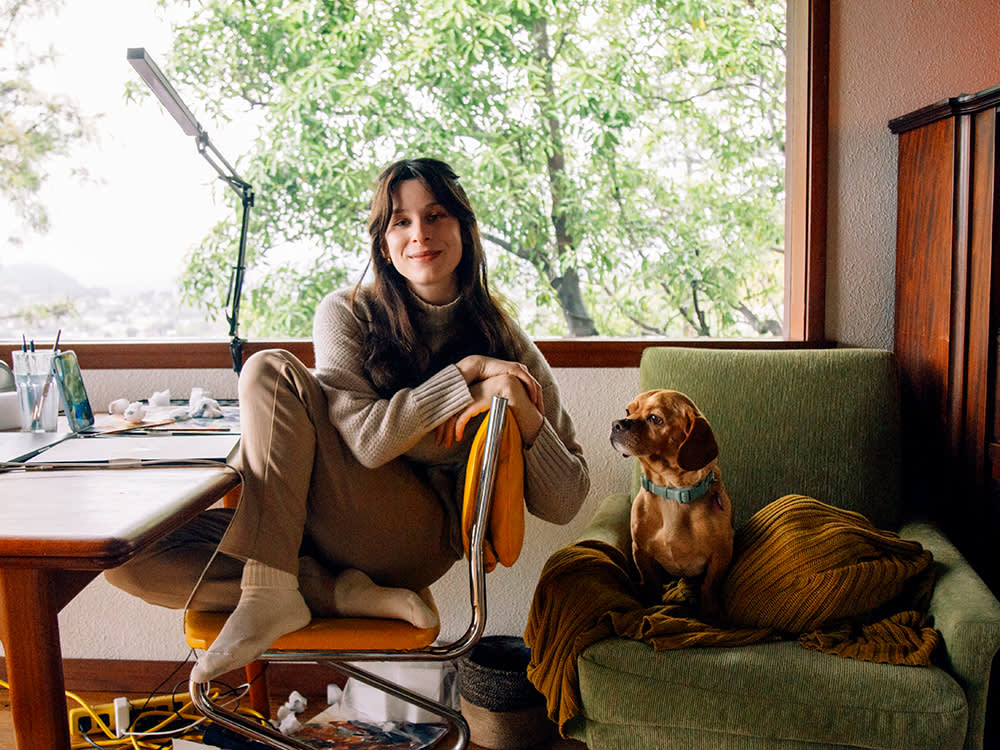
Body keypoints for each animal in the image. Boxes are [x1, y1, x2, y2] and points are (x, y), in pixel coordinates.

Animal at [608, 390, 736, 612]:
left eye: (655, 419)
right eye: (628, 411)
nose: (616, 424)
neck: (673, 493)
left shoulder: (722, 553)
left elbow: (709, 586)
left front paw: (711, 610)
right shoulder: (641, 551)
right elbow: (650, 581)